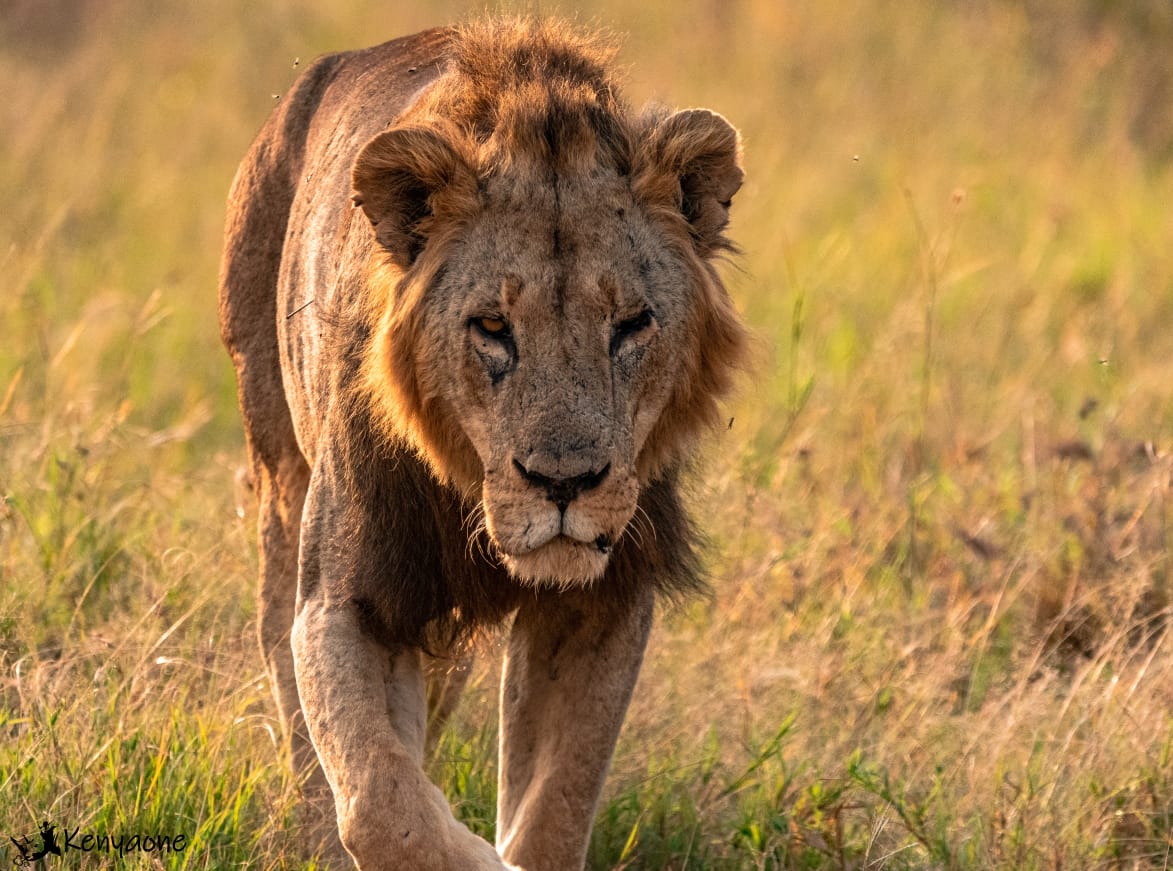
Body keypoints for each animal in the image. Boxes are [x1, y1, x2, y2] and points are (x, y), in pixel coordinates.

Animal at [219, 18, 747, 870]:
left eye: (631, 324)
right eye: (493, 327)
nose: (562, 482)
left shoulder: (603, 598)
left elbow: (556, 802)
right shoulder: (348, 596)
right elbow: (378, 800)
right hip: (277, 462)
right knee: (281, 656)